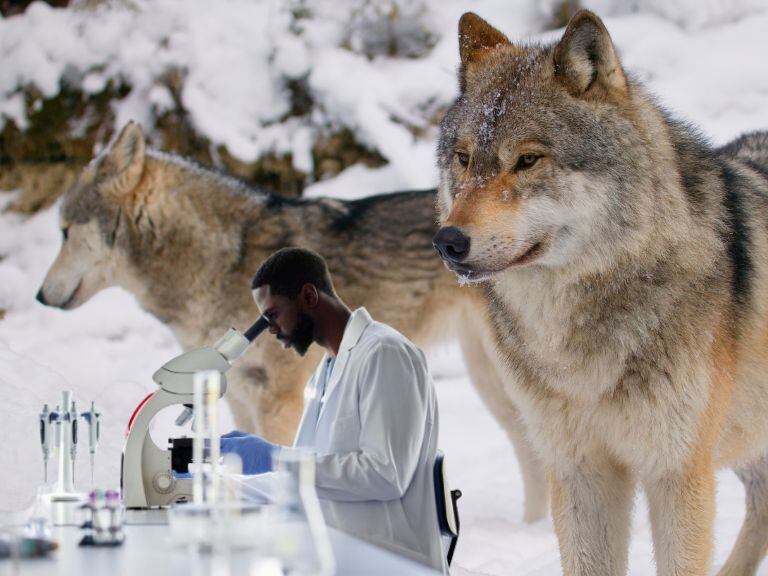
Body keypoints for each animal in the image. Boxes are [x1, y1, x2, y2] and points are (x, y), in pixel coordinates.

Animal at [35, 121, 550, 522]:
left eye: (64, 232)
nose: (39, 296)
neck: (222, 261)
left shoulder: (278, 399)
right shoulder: (241, 397)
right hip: (488, 380)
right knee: (529, 447)